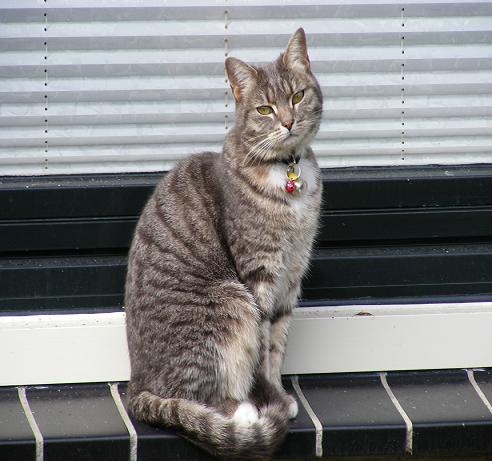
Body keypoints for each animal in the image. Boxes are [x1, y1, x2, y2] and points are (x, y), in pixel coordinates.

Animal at [125, 27, 320, 456]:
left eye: (298, 96)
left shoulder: (291, 277)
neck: (287, 173)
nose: (288, 121)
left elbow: (277, 345)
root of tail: (135, 387)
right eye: (264, 109)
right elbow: (262, 350)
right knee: (192, 395)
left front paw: (280, 394)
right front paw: (270, 400)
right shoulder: (259, 275)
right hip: (229, 302)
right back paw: (240, 411)